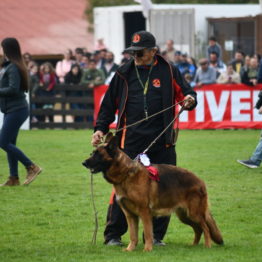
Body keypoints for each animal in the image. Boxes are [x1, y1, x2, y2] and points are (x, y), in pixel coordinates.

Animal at [82, 133, 223, 252]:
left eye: (98, 154)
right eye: (92, 153)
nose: (83, 163)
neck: (126, 174)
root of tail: (200, 181)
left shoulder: (144, 212)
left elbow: (148, 233)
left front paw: (147, 249)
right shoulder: (130, 215)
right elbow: (133, 235)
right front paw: (130, 249)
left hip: (194, 213)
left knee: (205, 228)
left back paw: (207, 246)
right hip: (185, 215)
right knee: (198, 228)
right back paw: (194, 245)